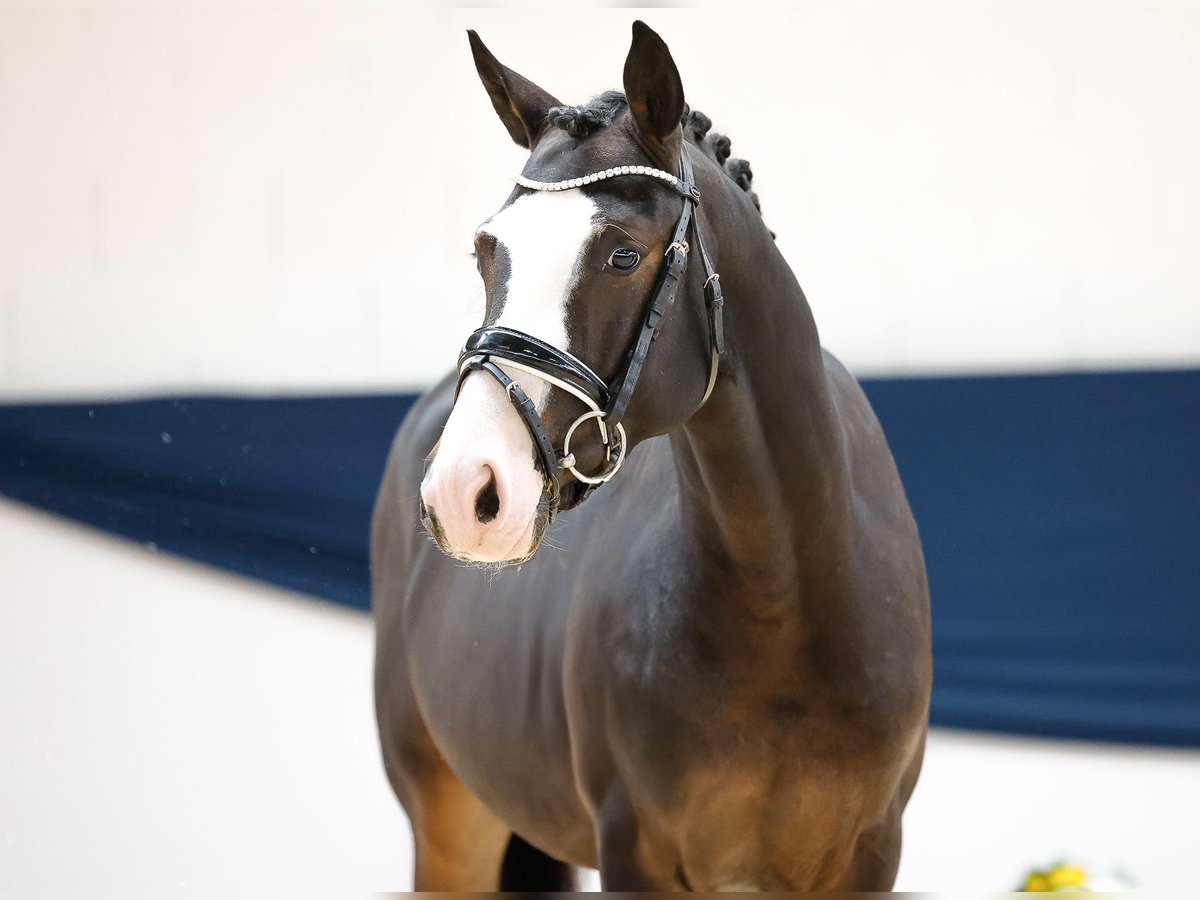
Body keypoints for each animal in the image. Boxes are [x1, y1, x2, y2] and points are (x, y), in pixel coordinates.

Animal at [369, 22, 931, 897]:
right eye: (486, 251)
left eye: (623, 256)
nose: (466, 490)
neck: (786, 602)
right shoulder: (633, 852)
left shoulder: (872, 856)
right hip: (449, 826)